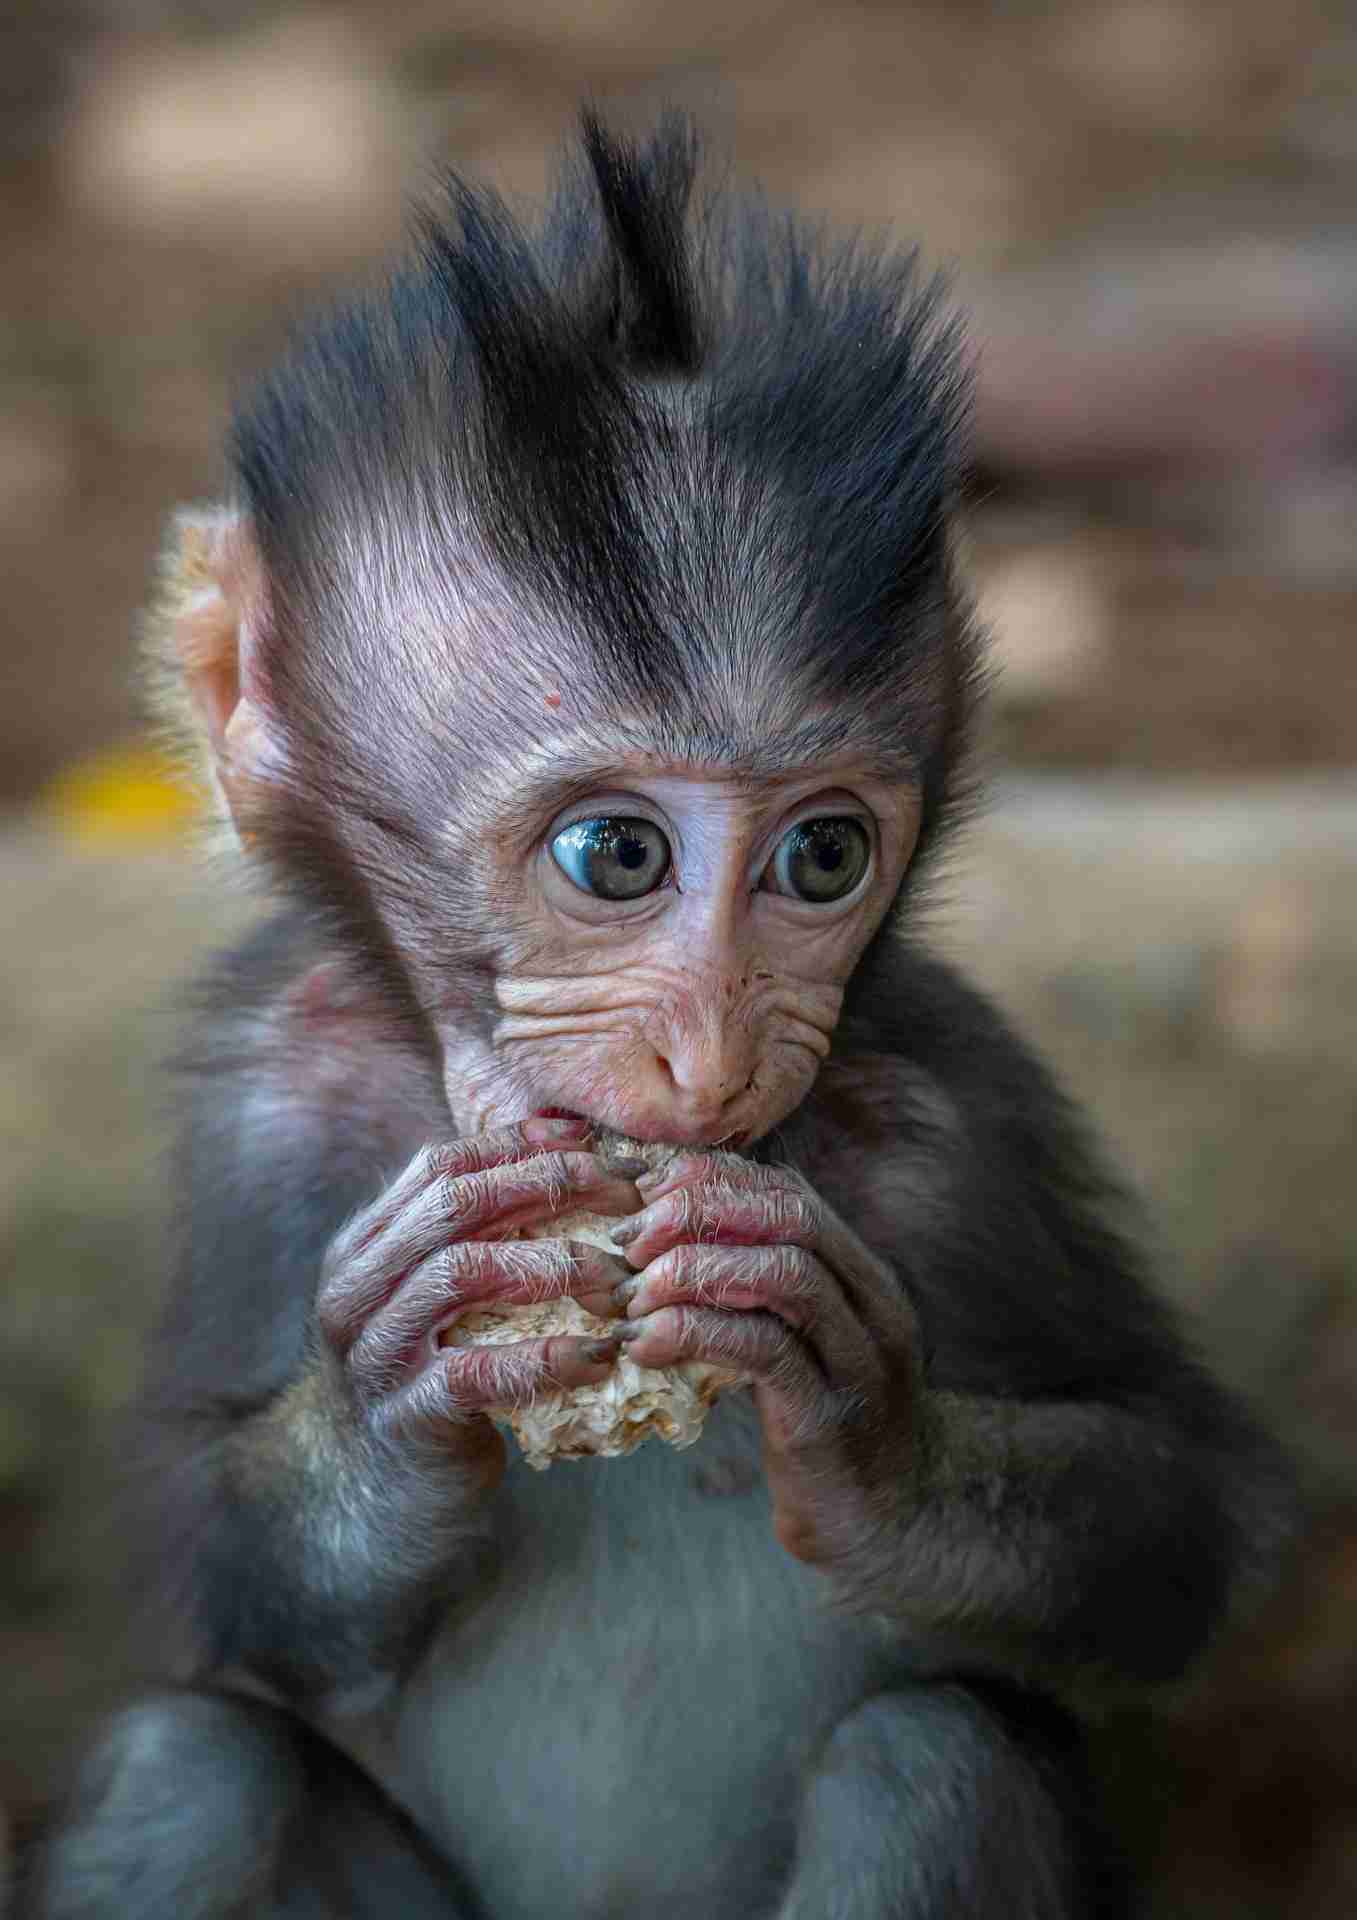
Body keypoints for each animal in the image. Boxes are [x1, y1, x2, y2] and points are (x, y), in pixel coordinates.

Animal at [20, 113, 1290, 1920]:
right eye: (615, 854)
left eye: (824, 856)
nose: (714, 1051)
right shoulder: (267, 1100)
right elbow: (198, 1544)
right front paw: (383, 1401)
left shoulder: (952, 1118)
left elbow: (1183, 1510)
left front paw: (867, 1427)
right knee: (192, 1771)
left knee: (933, 1760)